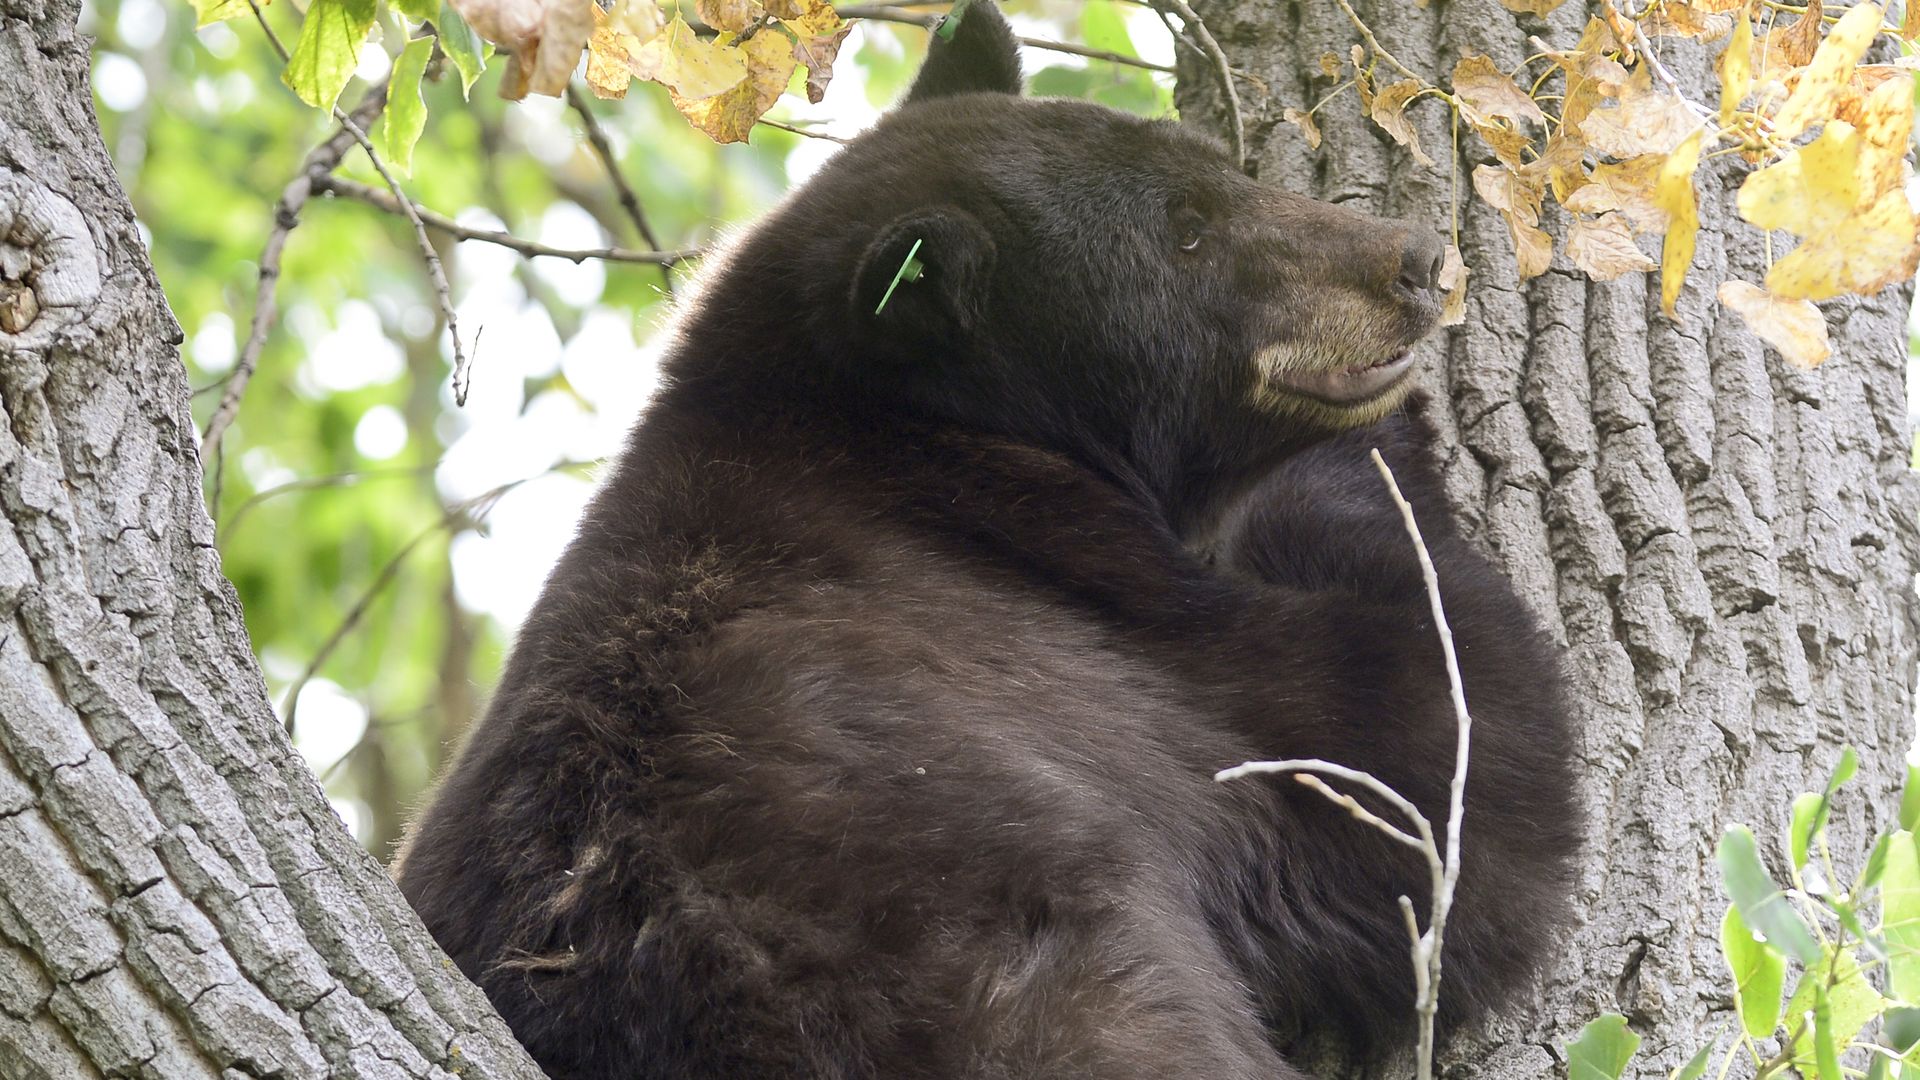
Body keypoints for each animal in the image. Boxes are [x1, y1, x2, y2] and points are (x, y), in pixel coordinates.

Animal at [393, 5, 1582, 1078]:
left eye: (1216, 171)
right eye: (1188, 229)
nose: (1413, 260)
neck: (925, 442)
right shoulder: (1093, 627)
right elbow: (1443, 761)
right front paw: (1377, 450)